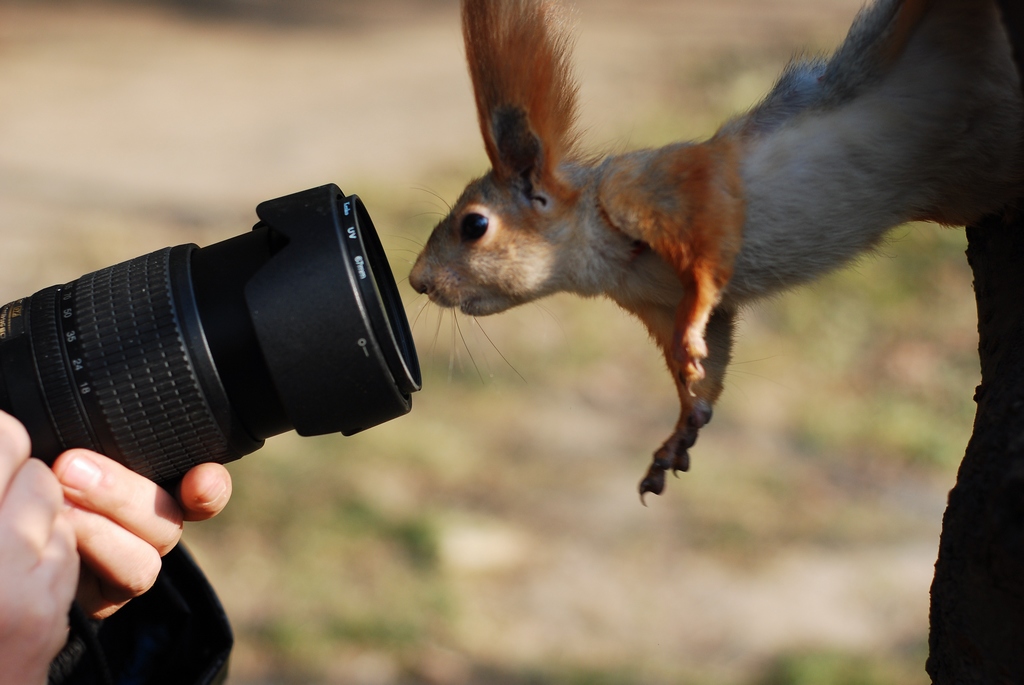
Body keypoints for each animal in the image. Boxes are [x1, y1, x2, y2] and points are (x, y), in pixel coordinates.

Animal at [407, 0, 1024, 501]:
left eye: (474, 225)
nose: (418, 281)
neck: (606, 257)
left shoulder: (667, 188)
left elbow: (708, 255)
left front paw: (690, 334)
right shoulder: (656, 301)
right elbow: (713, 362)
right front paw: (680, 426)